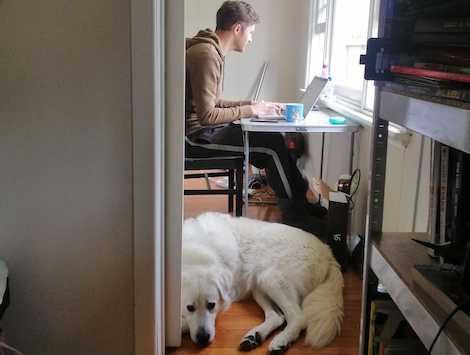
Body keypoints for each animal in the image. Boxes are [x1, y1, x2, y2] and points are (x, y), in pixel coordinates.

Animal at [182, 213, 344, 354]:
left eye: (211, 305)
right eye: (190, 307)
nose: (203, 338)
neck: (197, 255)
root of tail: (327, 252)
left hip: (271, 280)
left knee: (299, 317)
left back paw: (281, 341)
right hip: (259, 287)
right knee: (277, 317)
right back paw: (254, 337)